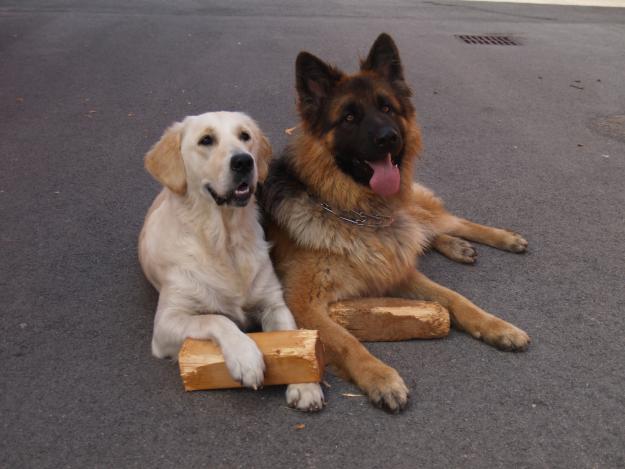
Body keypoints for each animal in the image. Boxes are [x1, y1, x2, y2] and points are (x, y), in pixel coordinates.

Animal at [136, 112, 322, 410]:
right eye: (206, 140)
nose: (244, 161)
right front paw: (246, 358)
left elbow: (291, 336)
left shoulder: (273, 303)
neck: (225, 242)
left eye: (245, 136)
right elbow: (215, 319)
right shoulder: (166, 322)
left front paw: (305, 385)